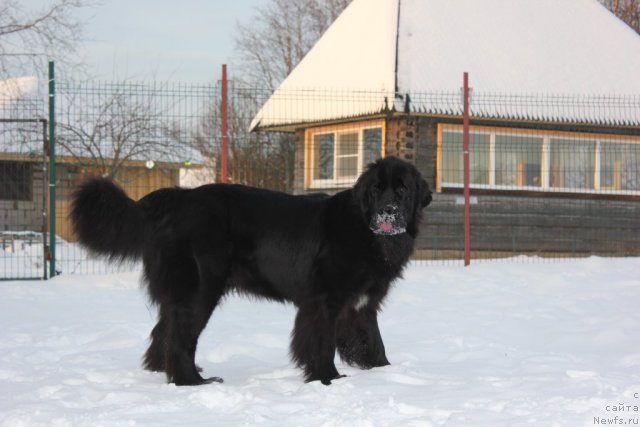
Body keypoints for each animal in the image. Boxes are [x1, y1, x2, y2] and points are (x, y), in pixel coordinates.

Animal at [70, 157, 432, 388]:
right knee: (181, 337)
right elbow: (323, 342)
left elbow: (373, 342)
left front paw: (386, 373)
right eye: (376, 190)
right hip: (200, 291)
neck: (365, 229)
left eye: (402, 190)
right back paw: (194, 382)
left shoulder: (362, 304)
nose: (387, 212)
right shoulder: (325, 301)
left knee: (164, 332)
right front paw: (327, 379)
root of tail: (178, 198)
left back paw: (168, 373)